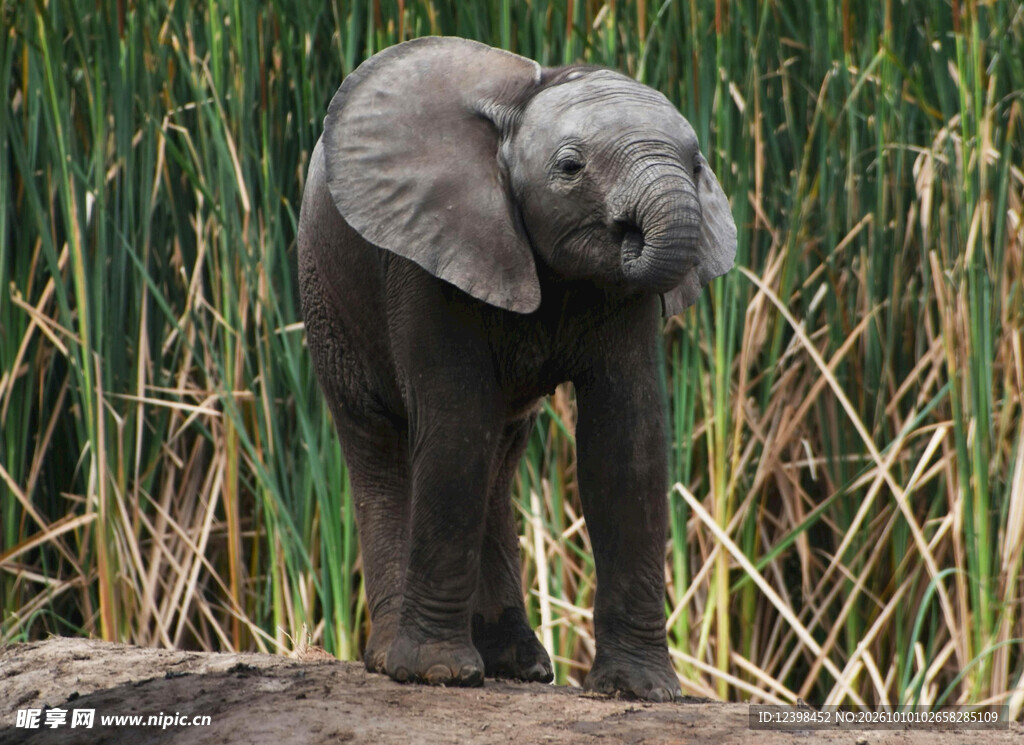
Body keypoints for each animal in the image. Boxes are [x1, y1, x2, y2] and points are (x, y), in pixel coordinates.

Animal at [297, 36, 735, 702]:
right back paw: (392, 661)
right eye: (571, 167)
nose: (630, 233)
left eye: (698, 164)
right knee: (382, 446)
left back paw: (518, 668)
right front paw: (435, 675)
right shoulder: (427, 249)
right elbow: (455, 423)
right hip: (326, 293)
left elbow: (626, 441)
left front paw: (639, 691)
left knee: (497, 459)